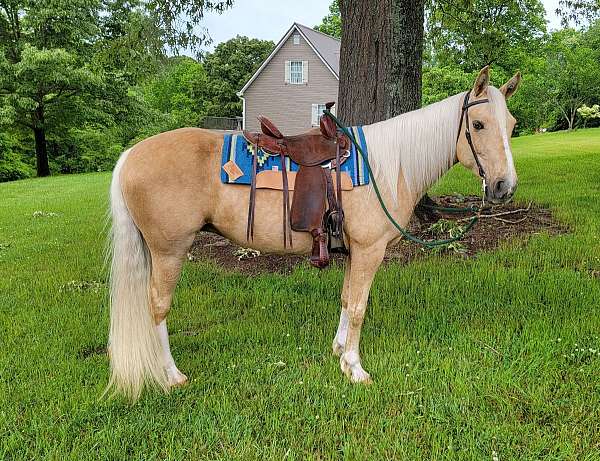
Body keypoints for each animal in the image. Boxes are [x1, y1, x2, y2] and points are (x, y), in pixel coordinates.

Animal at [106, 66, 520, 400]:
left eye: (513, 125)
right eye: (479, 125)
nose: (504, 187)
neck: (386, 167)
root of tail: (130, 155)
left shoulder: (354, 251)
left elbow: (346, 299)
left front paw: (339, 352)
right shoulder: (369, 250)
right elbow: (359, 306)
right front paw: (355, 367)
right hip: (169, 251)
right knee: (158, 307)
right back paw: (171, 375)